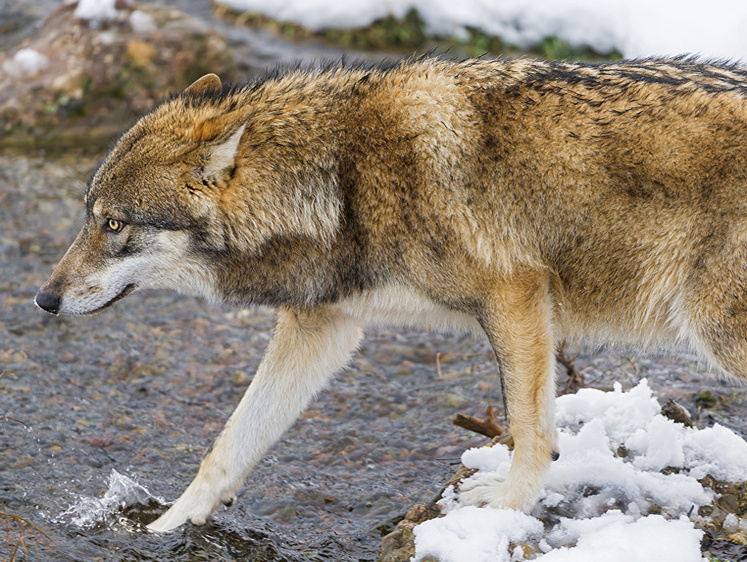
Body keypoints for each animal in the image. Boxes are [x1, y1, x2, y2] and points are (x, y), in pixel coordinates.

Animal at [35, 57, 747, 528]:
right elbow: (229, 443)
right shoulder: (324, 326)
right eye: (89, 216)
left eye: (114, 224)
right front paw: (167, 526)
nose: (44, 299)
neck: (340, 182)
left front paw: (506, 509)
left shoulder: (515, 296)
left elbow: (530, 429)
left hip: (716, 330)